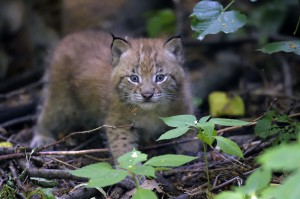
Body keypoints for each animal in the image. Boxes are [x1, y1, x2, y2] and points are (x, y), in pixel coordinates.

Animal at [31, 30, 199, 162]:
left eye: (160, 77)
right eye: (134, 78)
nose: (147, 95)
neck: (150, 110)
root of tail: (71, 36)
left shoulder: (183, 104)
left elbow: (188, 126)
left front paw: (190, 149)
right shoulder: (118, 122)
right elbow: (123, 148)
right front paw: (132, 174)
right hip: (63, 102)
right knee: (46, 115)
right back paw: (41, 137)